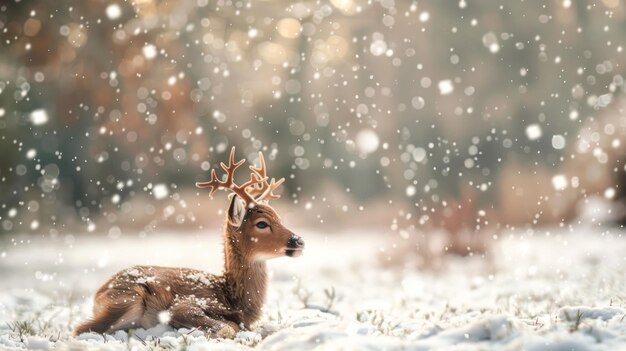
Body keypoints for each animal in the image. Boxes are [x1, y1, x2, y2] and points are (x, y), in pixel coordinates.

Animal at [73, 148, 304, 338]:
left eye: (279, 217)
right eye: (262, 224)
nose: (299, 240)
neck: (232, 297)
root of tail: (98, 293)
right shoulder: (188, 302)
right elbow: (228, 326)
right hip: (127, 298)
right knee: (80, 329)